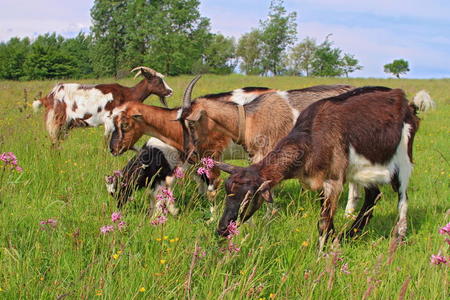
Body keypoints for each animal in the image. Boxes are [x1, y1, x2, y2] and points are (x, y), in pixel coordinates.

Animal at [31, 66, 172, 145]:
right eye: (158, 81)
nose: (170, 91)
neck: (127, 93)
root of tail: (49, 96)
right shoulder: (109, 120)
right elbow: (106, 141)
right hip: (58, 121)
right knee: (54, 141)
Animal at [215, 85, 426, 250]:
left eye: (249, 196)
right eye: (227, 193)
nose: (222, 229)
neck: (313, 138)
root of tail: (408, 104)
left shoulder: (334, 180)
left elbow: (323, 222)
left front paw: (321, 254)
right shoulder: (319, 181)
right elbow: (327, 218)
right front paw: (334, 242)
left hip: (403, 159)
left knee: (402, 198)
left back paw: (399, 236)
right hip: (362, 170)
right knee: (373, 195)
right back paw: (351, 234)